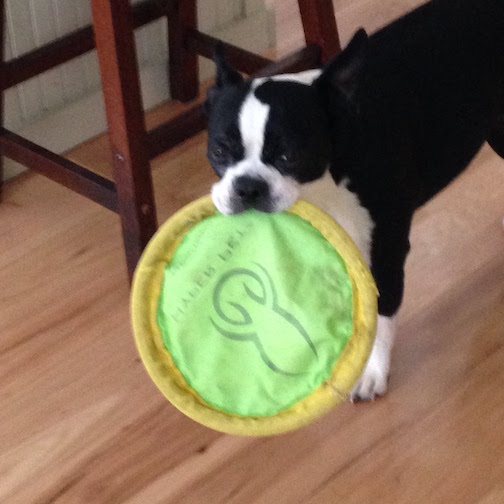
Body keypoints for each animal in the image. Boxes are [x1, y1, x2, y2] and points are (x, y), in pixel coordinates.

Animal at [203, 0, 502, 402]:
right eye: (219, 151)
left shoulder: (386, 247)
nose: (248, 187)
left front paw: (372, 370)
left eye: (289, 156)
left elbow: (383, 309)